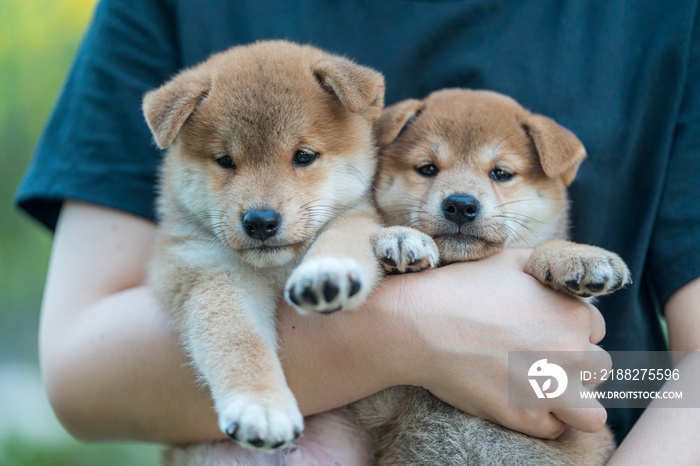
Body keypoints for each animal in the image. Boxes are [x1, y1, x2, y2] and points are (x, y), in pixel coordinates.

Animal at [142, 41, 382, 462]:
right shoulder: (206, 271)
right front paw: (260, 408)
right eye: (225, 160)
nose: (260, 221)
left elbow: (341, 238)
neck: (275, 269)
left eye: (303, 155)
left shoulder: (356, 215)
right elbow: (238, 340)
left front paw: (326, 274)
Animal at [352, 88, 632, 466]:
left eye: (500, 173)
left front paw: (575, 255)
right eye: (427, 168)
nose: (460, 204)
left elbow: (543, 253)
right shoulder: (381, 398)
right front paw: (399, 237)